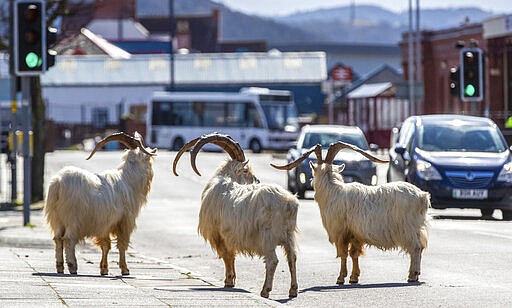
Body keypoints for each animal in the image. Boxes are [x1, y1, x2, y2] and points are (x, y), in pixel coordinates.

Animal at [44, 131, 156, 276]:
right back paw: (72, 266)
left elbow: (105, 245)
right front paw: (125, 269)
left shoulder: (105, 223)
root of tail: (58, 183)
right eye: (148, 159)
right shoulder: (125, 221)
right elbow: (122, 244)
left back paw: (60, 267)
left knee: (58, 238)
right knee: (68, 239)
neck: (128, 180)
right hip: (73, 219)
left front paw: (104, 269)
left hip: (56, 218)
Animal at [173, 133, 300, 298]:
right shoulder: (230, 236)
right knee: (292, 257)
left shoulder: (219, 235)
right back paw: (293, 290)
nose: (257, 180)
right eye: (245, 170)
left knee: (272, 260)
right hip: (289, 235)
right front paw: (232, 280)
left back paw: (265, 290)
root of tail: (288, 203)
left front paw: (228, 281)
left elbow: (226, 256)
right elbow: (231, 256)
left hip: (267, 236)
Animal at [272, 143, 428, 286]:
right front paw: (354, 277)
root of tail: (422, 196)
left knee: (416, 248)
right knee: (420, 247)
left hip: (407, 229)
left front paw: (341, 278)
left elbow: (343, 254)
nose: (311, 182)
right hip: (416, 228)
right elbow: (354, 254)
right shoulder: (355, 234)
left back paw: (412, 275)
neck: (333, 190)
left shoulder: (341, 232)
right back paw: (415, 275)